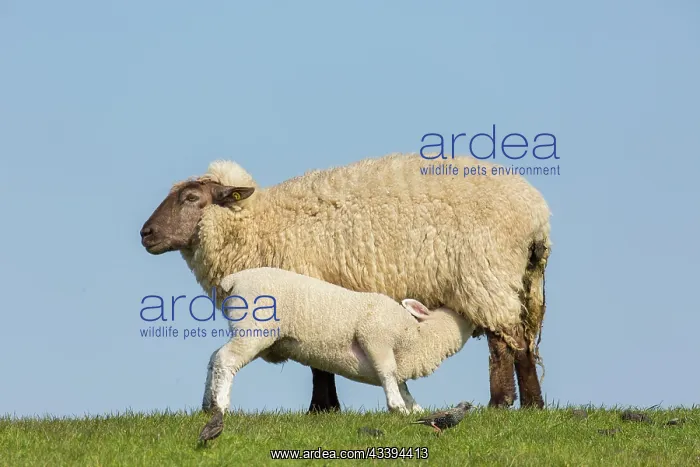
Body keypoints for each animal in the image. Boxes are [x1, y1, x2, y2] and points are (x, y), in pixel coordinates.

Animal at [202, 267, 476, 417]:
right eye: (460, 313)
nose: (478, 321)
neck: (418, 335)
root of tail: (234, 279)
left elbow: (404, 385)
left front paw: (415, 409)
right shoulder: (375, 338)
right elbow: (387, 373)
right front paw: (396, 407)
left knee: (214, 357)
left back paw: (207, 403)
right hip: (255, 330)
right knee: (226, 359)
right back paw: (221, 406)